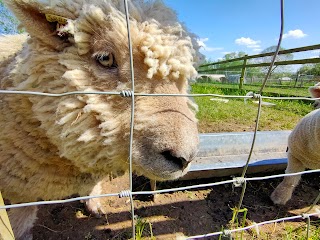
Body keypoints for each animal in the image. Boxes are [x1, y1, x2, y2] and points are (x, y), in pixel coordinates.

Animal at [0, 0, 200, 238]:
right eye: (105, 58)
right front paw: (21, 233)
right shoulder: (21, 186)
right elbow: (23, 214)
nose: (184, 158)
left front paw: (94, 204)